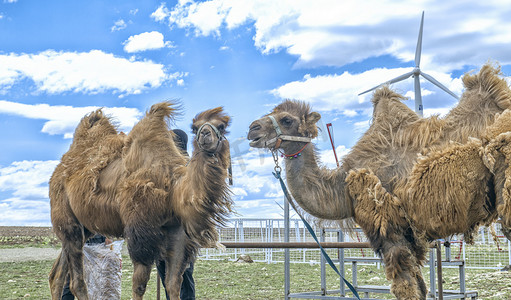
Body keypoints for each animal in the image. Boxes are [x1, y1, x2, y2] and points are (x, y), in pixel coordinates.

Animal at [47, 102, 232, 298]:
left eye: (222, 126)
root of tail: (59, 171)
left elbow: (173, 284)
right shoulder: (140, 230)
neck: (173, 191)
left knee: (57, 275)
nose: (205, 134)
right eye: (195, 127)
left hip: (83, 227)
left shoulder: (178, 233)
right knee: (76, 281)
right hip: (67, 220)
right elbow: (139, 284)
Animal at [248, 62, 511, 298]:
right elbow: (420, 286)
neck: (342, 185)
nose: (252, 128)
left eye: (287, 119)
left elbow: (406, 288)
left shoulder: (388, 226)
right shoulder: (411, 236)